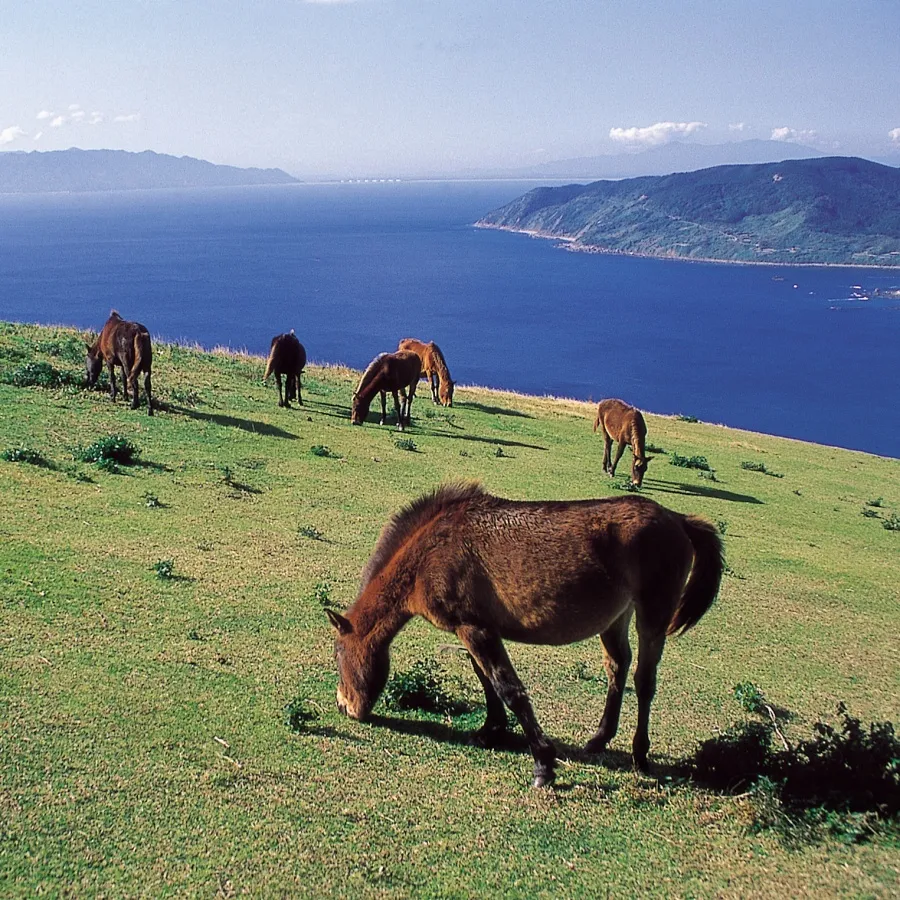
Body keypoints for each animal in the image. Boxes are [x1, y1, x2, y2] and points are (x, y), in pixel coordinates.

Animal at [327, 483, 724, 788]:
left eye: (337, 655)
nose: (345, 706)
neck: (433, 549)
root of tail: (677, 519)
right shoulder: (474, 628)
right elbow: (486, 680)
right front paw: (491, 730)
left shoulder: (474, 628)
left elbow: (509, 689)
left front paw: (543, 764)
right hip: (617, 618)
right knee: (618, 668)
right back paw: (599, 739)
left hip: (652, 616)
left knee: (644, 680)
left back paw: (640, 755)